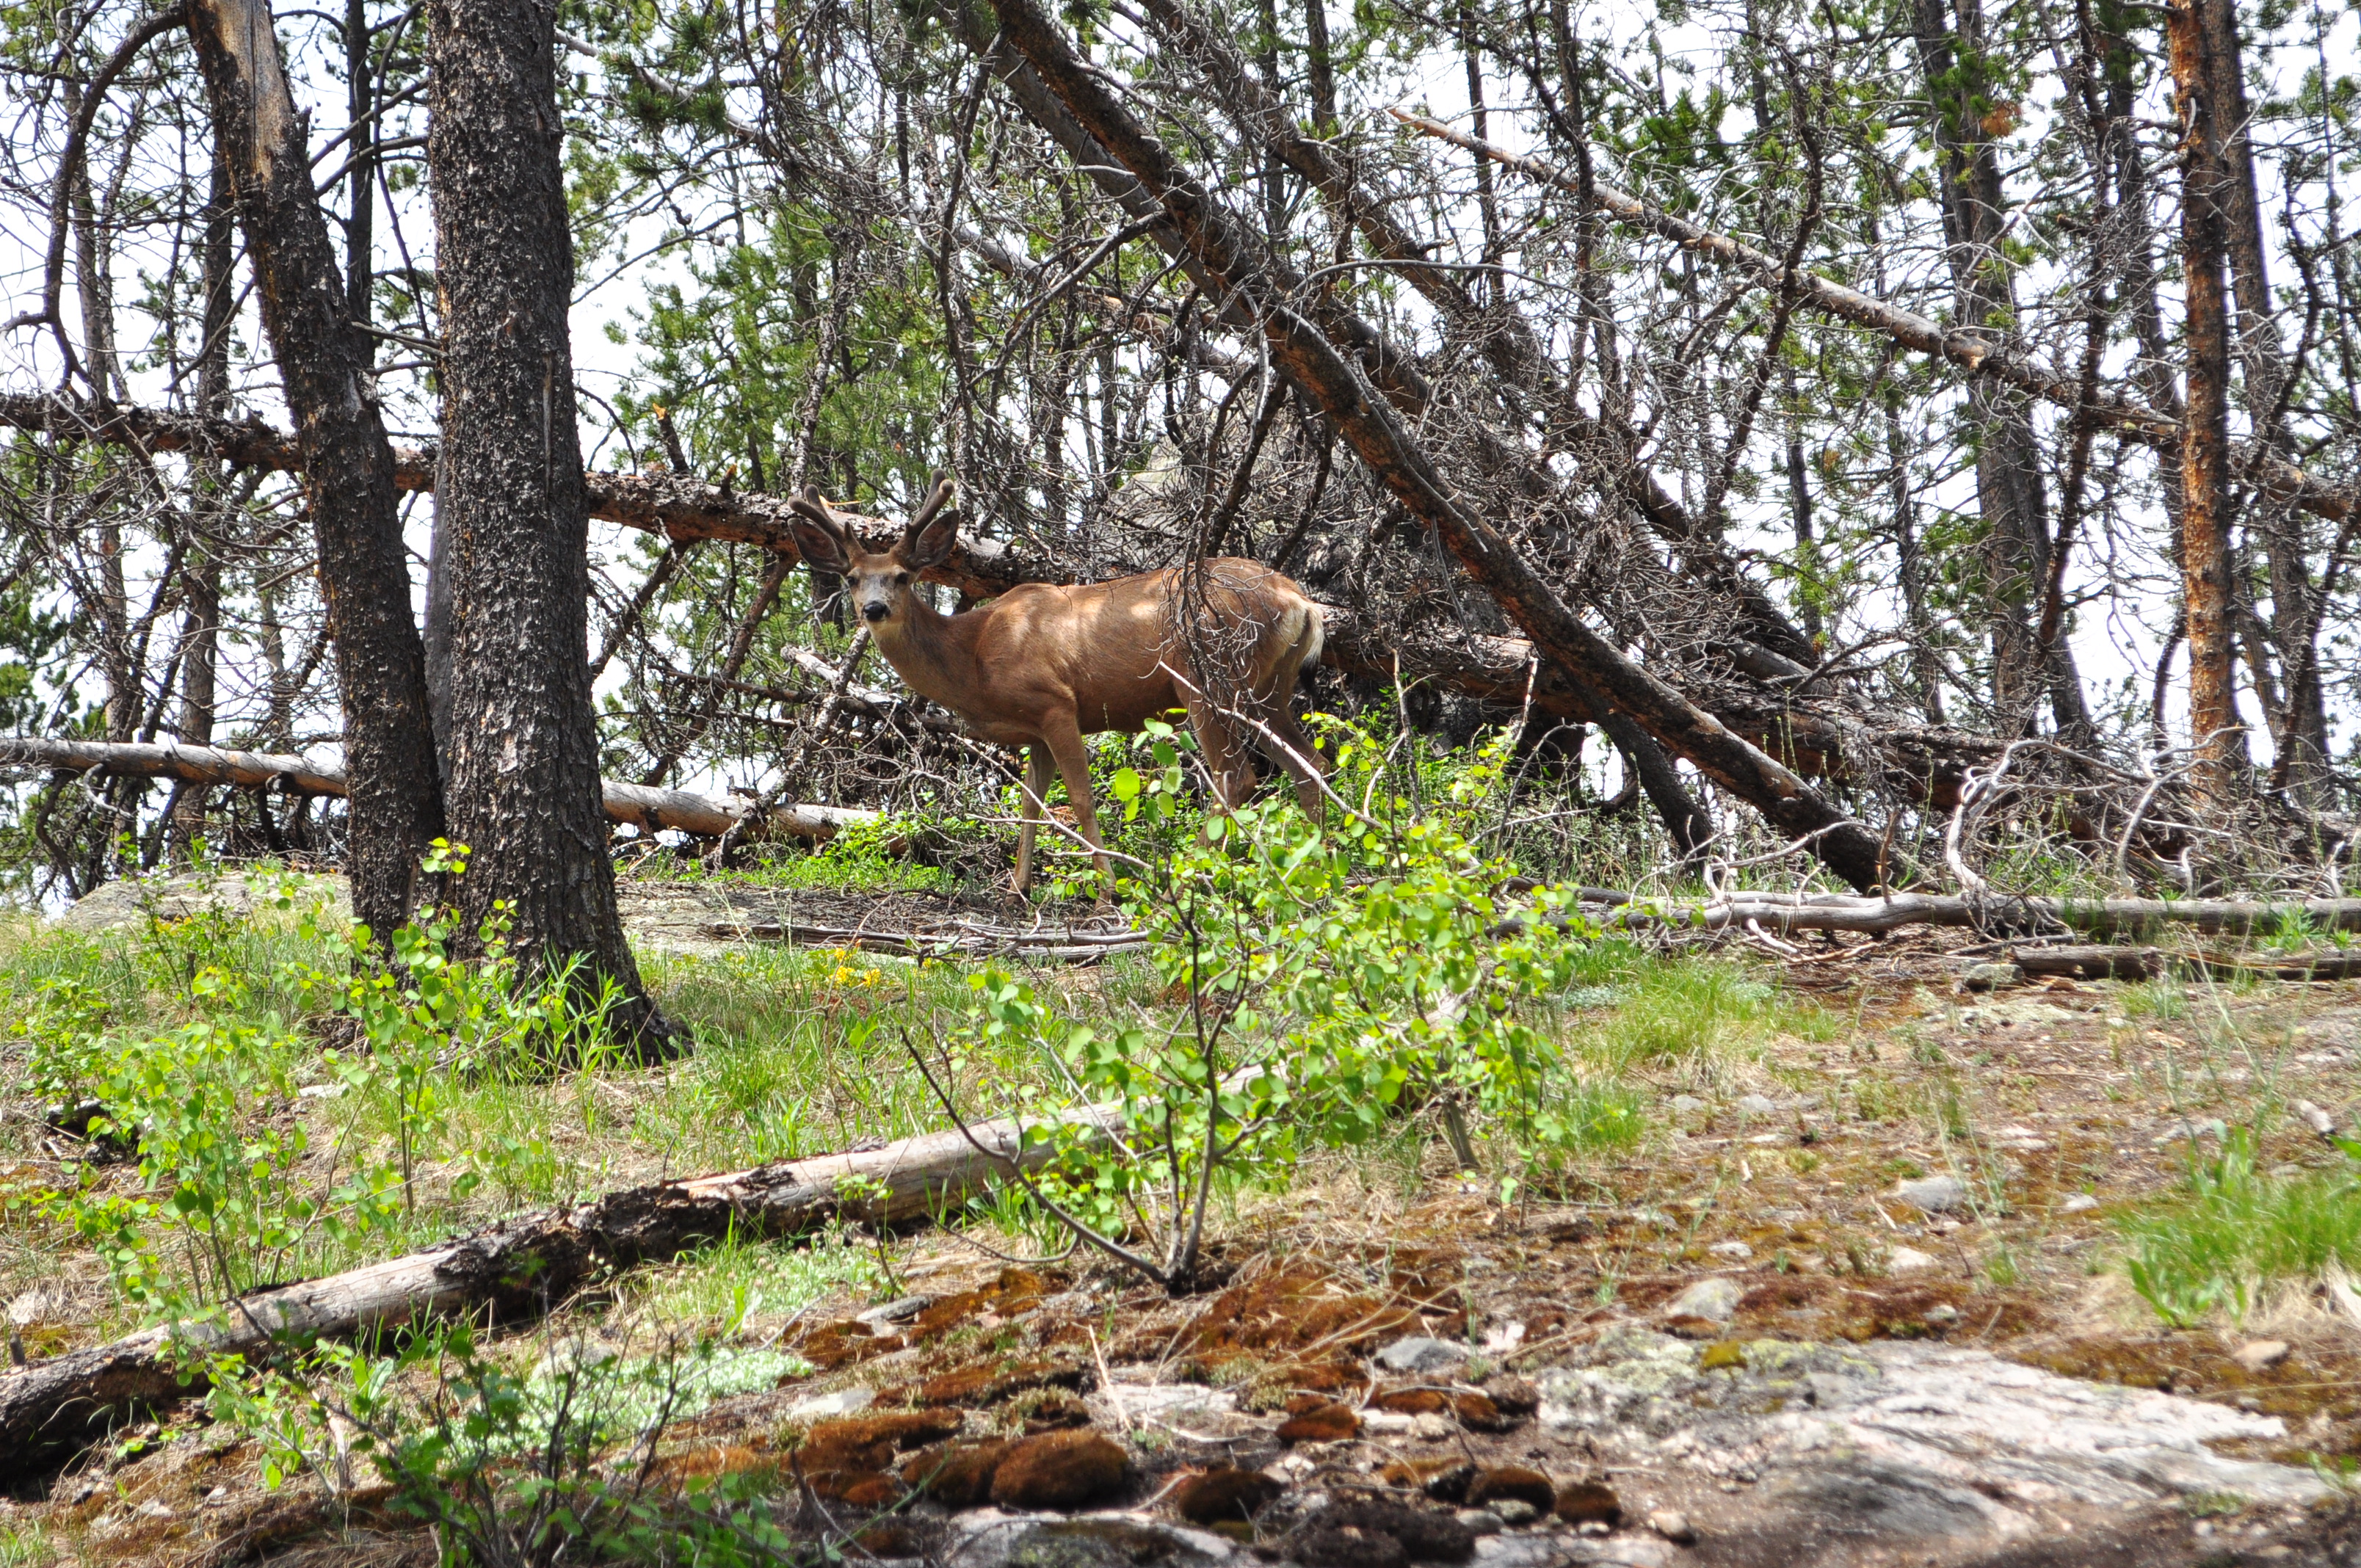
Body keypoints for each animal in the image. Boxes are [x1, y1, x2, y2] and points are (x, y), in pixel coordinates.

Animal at [786, 475, 1329, 896]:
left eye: (901, 576)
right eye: (853, 578)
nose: (874, 609)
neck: (974, 656)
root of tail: (1300, 602)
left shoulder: (1056, 704)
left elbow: (1080, 797)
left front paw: (1106, 887)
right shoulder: (1034, 729)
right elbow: (1032, 803)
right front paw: (1018, 888)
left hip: (1207, 677)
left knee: (1237, 775)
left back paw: (1183, 875)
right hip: (1265, 690)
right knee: (1310, 765)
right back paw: (1322, 864)